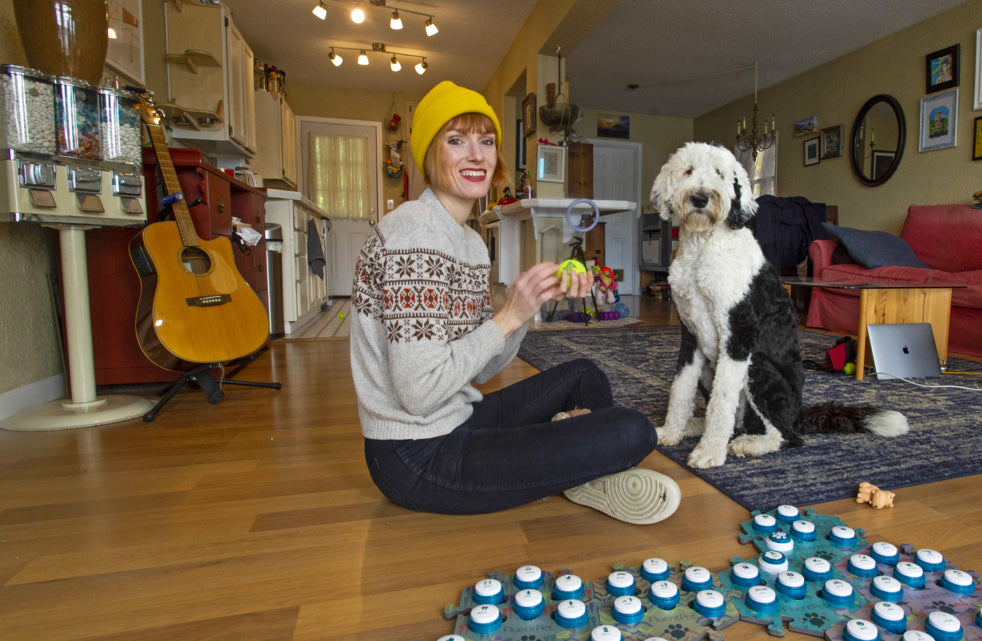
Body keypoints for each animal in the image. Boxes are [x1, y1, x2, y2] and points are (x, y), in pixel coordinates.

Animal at [648, 142, 912, 468]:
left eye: (719, 173)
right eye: (688, 171)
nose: (700, 197)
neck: (703, 248)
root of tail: (797, 415)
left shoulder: (739, 336)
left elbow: (722, 401)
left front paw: (710, 452)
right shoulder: (691, 335)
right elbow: (680, 388)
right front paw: (671, 431)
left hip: (757, 367)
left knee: (784, 436)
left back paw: (748, 444)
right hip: (712, 369)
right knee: (736, 421)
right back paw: (694, 425)